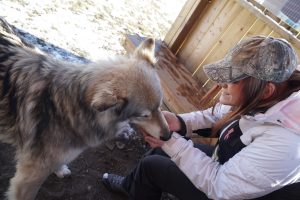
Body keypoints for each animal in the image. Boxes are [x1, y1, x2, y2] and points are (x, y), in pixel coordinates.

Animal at [0, 19, 169, 199]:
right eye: (145, 115)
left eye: (159, 106)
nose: (168, 136)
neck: (71, 107)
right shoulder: (29, 176)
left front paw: (60, 170)